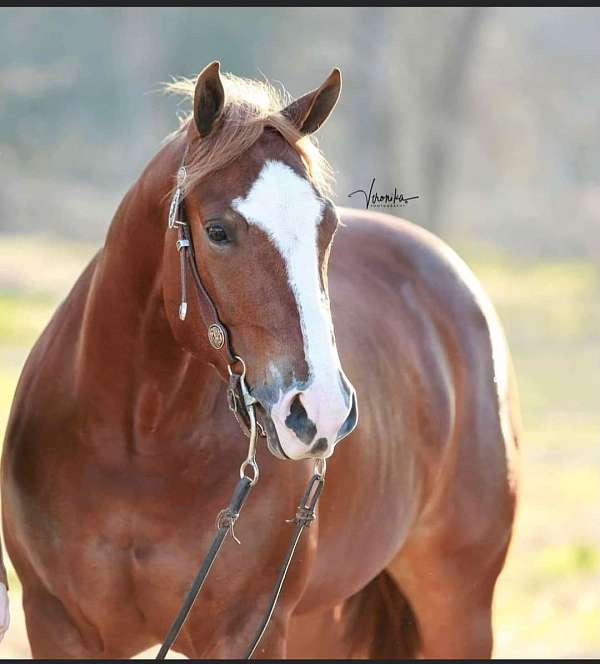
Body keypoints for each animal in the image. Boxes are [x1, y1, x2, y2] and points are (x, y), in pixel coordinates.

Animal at [1, 62, 519, 659]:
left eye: (327, 227)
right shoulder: (56, 624)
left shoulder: (251, 629)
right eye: (217, 231)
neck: (137, 443)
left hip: (458, 608)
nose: (320, 412)